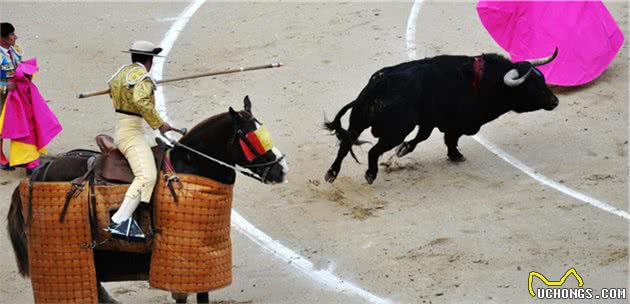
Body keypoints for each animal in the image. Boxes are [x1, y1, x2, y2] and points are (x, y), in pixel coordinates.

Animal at [328, 50, 560, 184]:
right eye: (531, 86)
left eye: (542, 79)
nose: (555, 101)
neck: (486, 81)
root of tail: (379, 83)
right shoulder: (456, 122)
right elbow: (450, 138)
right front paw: (456, 155)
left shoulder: (429, 121)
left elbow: (423, 137)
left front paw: (404, 150)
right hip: (396, 130)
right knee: (373, 151)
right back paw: (370, 174)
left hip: (359, 120)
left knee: (345, 145)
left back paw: (331, 174)